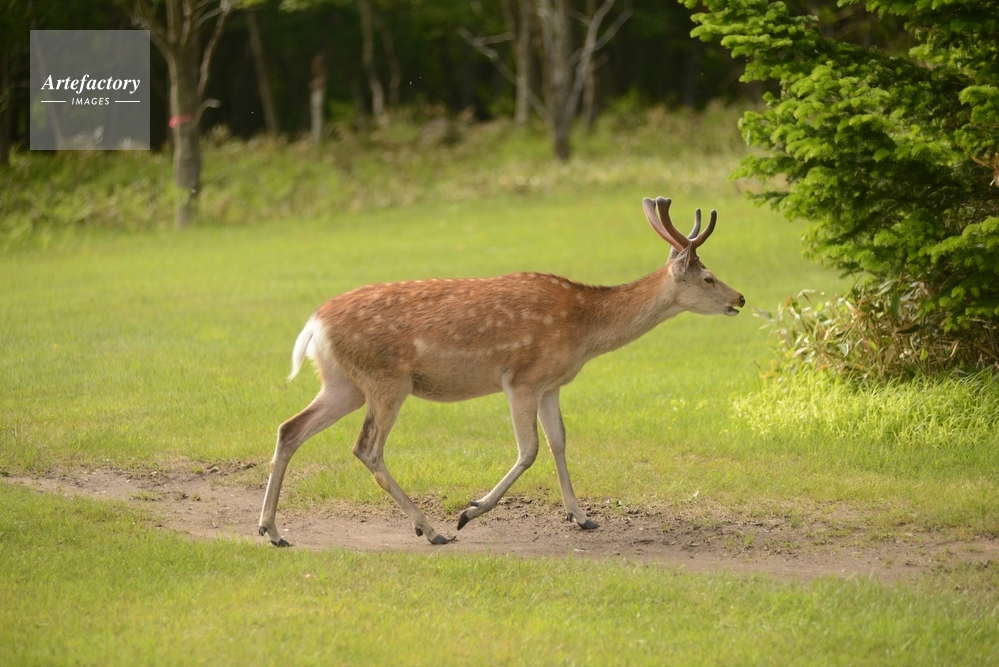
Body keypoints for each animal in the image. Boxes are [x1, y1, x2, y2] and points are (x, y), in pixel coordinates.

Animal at [258, 196, 745, 547]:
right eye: (708, 278)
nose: (739, 298)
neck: (583, 329)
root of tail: (314, 324)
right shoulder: (521, 377)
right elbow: (529, 450)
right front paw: (470, 511)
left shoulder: (552, 384)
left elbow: (559, 442)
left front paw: (582, 517)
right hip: (387, 380)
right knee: (367, 448)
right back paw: (431, 529)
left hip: (343, 383)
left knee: (290, 429)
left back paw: (273, 531)